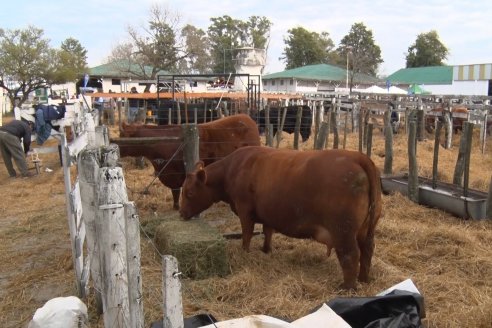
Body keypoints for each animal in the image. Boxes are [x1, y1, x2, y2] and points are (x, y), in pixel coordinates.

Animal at [114, 114, 262, 209]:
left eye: (122, 135)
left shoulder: (175, 173)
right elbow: (176, 192)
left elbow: (176, 192)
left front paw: (178, 207)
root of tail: (247, 118)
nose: (114, 145)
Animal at [179, 147, 382, 290]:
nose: (181, 213)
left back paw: (347, 287)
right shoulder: (268, 214)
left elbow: (247, 234)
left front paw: (245, 252)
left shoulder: (245, 211)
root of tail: (357, 157)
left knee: (350, 255)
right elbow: (268, 232)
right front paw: (266, 250)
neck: (233, 169)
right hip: (367, 230)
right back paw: (364, 279)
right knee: (367, 250)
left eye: (189, 193)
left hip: (343, 231)